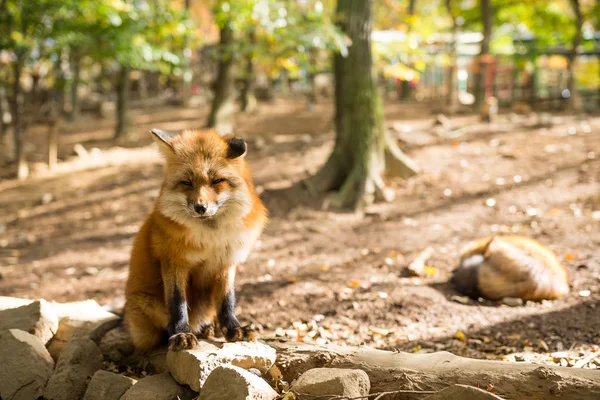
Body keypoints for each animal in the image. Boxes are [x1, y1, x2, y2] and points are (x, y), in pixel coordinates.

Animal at [124, 127, 268, 350]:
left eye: (216, 181)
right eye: (186, 182)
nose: (201, 207)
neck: (210, 239)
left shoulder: (226, 263)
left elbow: (227, 301)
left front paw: (233, 329)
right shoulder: (173, 261)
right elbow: (178, 303)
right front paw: (181, 333)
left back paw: (209, 328)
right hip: (147, 314)